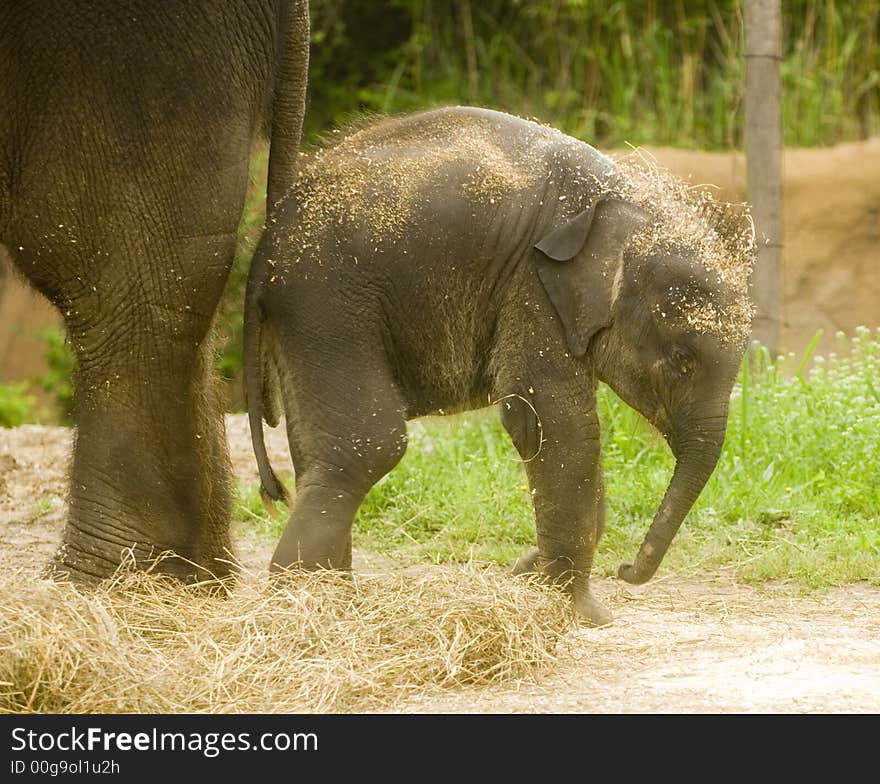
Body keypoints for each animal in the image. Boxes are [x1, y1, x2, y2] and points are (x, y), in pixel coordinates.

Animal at [244, 107, 752, 628]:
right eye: (682, 360)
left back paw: (334, 599)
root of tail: (266, 242)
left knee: (319, 452)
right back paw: (304, 605)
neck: (627, 203)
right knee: (367, 445)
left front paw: (533, 578)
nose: (626, 568)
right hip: (327, 303)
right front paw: (581, 612)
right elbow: (558, 424)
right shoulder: (533, 286)